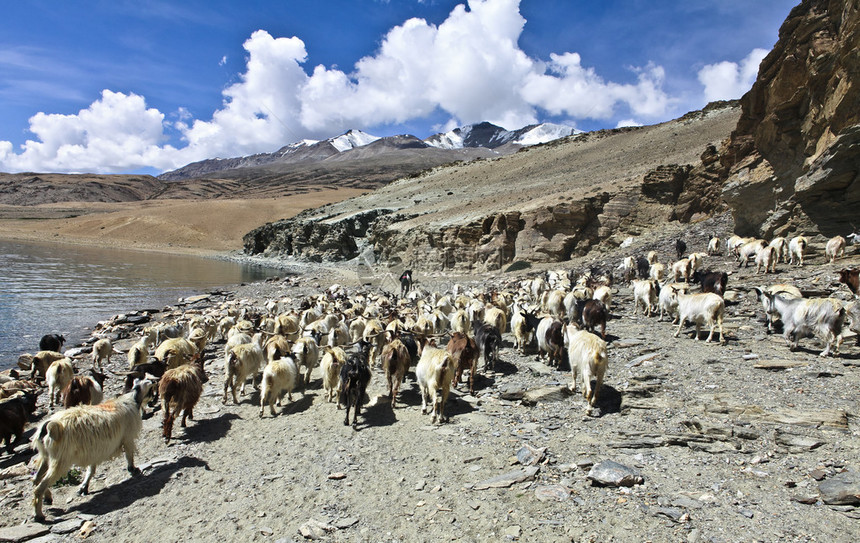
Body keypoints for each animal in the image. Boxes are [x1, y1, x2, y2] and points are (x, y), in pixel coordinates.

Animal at [31, 378, 155, 524]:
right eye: (150, 387)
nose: (153, 399)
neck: (131, 400)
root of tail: (49, 426)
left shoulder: (94, 450)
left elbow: (91, 470)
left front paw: (83, 487)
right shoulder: (127, 438)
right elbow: (129, 456)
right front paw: (133, 469)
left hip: (46, 456)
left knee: (36, 479)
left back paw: (48, 498)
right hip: (60, 460)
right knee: (40, 487)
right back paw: (39, 515)